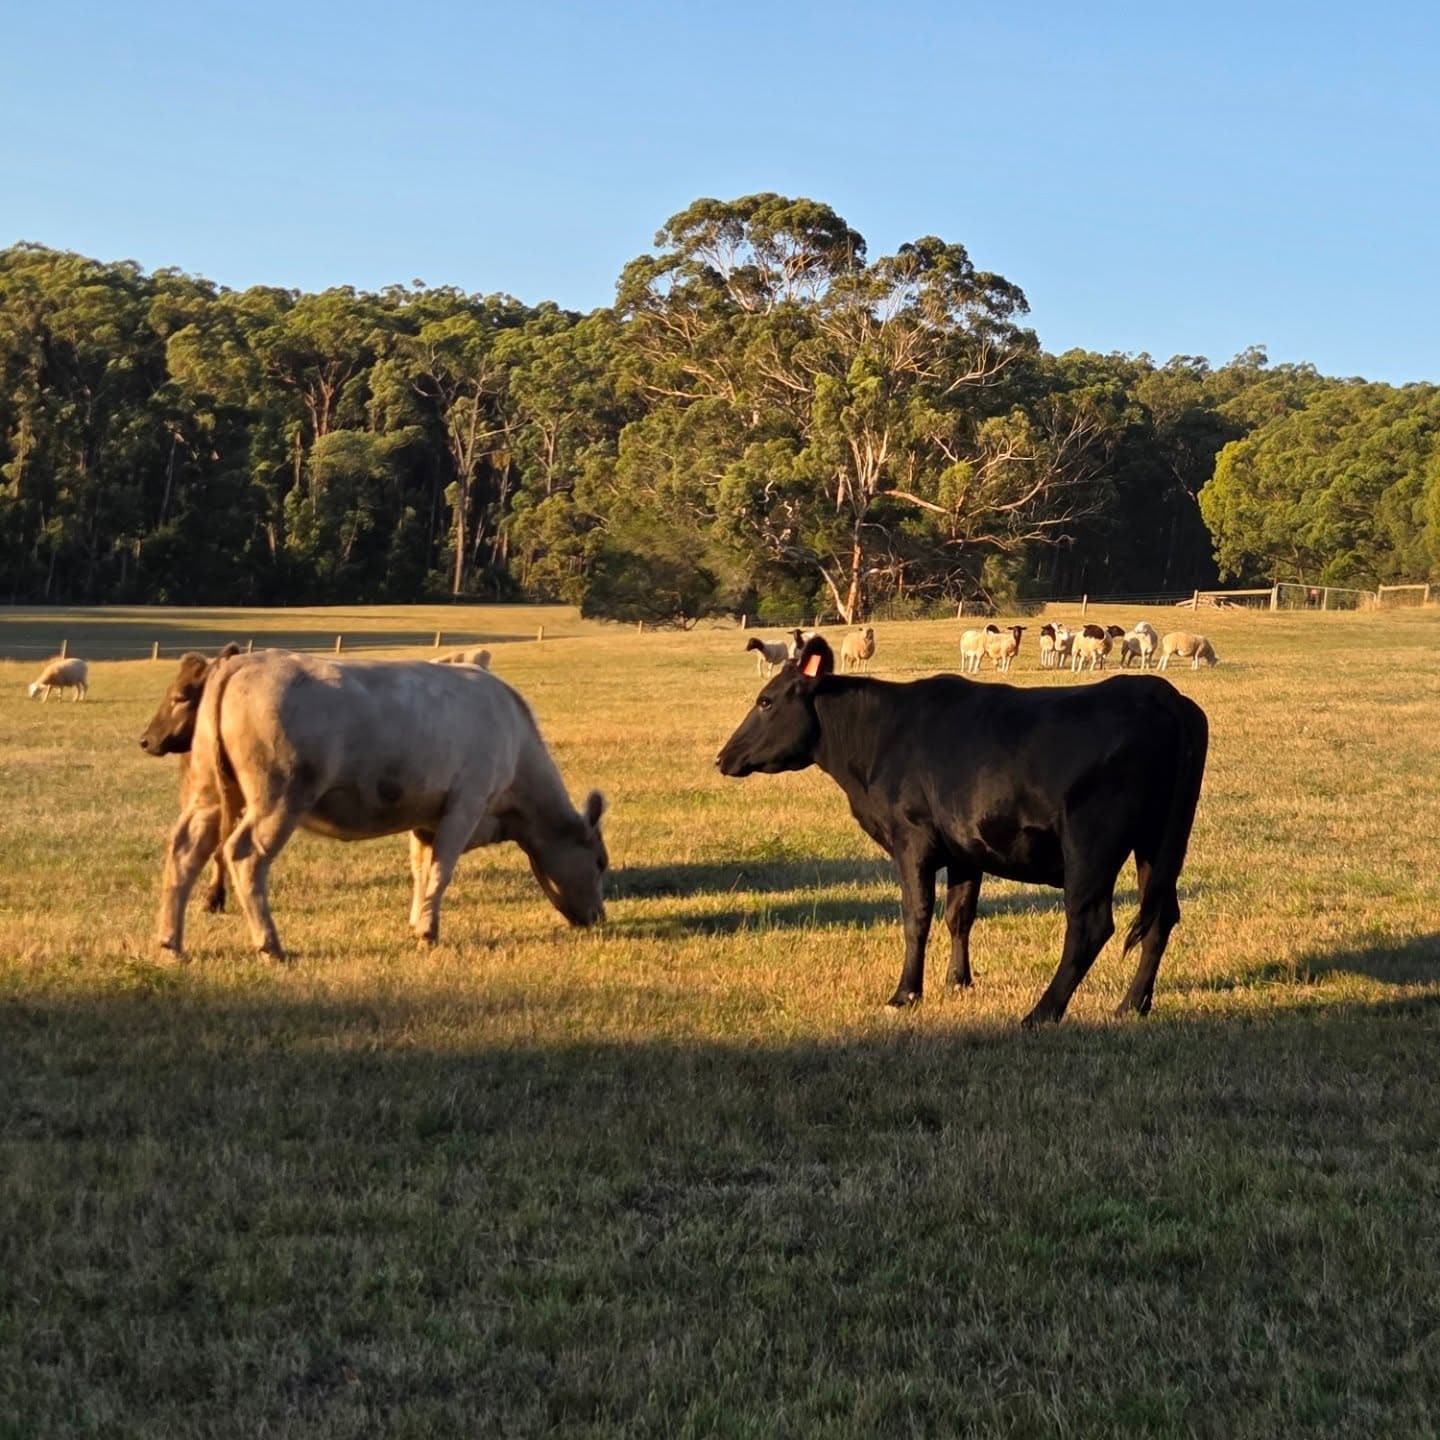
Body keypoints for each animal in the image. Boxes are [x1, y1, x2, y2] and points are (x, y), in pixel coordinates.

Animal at [157, 651, 608, 961]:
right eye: (601, 862)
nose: (599, 918)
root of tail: (241, 662)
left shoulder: (426, 817)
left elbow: (421, 868)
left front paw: (417, 920)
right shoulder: (467, 803)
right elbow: (441, 870)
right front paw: (428, 932)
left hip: (207, 792)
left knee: (185, 850)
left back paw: (170, 943)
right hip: (279, 796)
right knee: (245, 854)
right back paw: (270, 945)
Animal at [715, 635, 1208, 1025]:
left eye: (765, 700)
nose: (722, 757)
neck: (879, 740)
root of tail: (1160, 694)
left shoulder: (912, 840)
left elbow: (916, 916)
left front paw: (905, 994)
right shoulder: (964, 849)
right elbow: (959, 915)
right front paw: (958, 981)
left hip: (1092, 844)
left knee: (1090, 924)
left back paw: (1042, 1012)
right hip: (1159, 843)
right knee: (1160, 916)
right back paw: (1131, 1005)